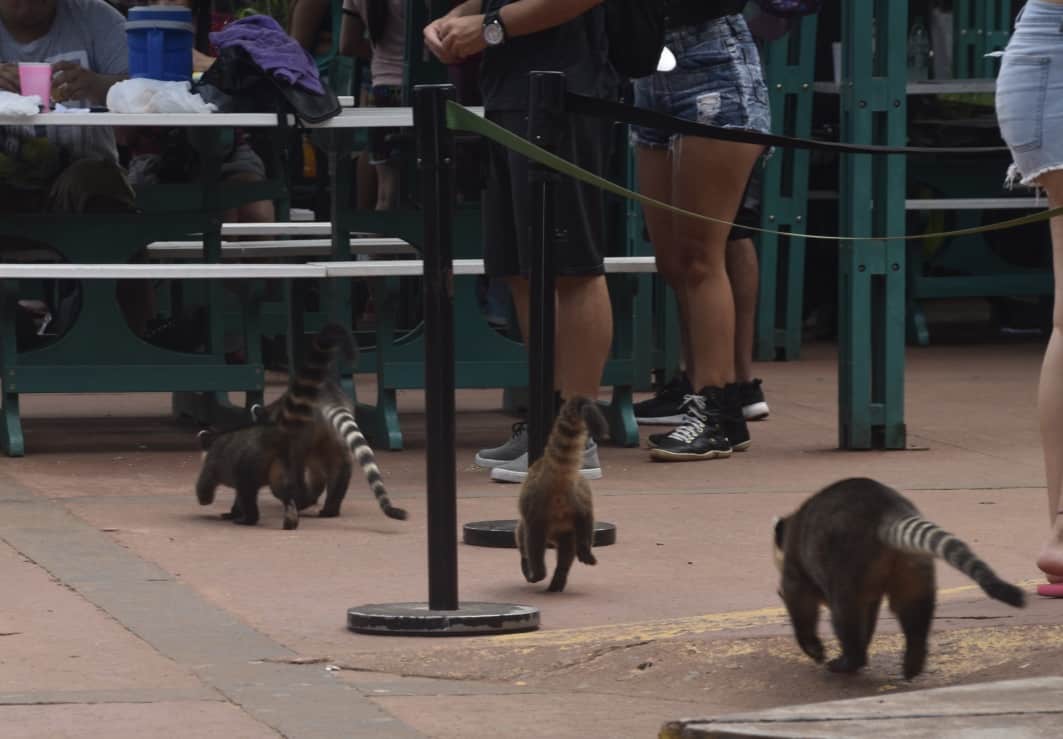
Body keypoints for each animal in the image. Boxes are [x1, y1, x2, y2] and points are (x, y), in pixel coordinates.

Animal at [194, 323, 353, 530]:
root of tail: (330, 399)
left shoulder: (217, 463)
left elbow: (211, 482)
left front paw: (216, 503)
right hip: (326, 440)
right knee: (338, 468)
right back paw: (324, 505)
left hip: (291, 446)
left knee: (289, 477)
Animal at [515, 396, 606, 593]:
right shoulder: (568, 530)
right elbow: (567, 552)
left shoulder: (529, 525)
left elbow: (524, 542)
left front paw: (526, 563)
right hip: (580, 500)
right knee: (585, 521)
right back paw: (579, 556)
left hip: (536, 510)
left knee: (534, 542)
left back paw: (537, 572)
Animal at [772, 477, 1025, 679]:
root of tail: (887, 509)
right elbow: (870, 612)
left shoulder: (796, 566)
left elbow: (800, 603)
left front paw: (812, 646)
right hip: (912, 561)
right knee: (913, 608)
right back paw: (913, 658)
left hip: (846, 560)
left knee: (844, 613)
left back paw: (851, 659)